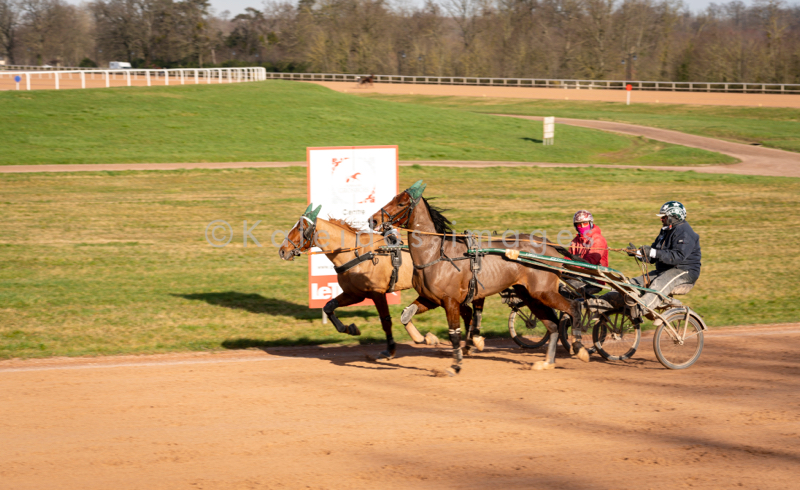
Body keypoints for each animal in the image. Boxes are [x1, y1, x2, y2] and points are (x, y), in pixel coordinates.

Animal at [278, 204, 484, 360]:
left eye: (300, 228)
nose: (282, 250)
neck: (357, 253)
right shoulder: (355, 294)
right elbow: (329, 306)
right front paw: (349, 328)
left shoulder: (376, 293)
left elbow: (386, 321)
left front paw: (391, 348)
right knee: (467, 312)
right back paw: (469, 344)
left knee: (467, 312)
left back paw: (471, 342)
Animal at [368, 182, 580, 374]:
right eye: (393, 198)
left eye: (401, 203)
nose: (373, 220)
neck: (435, 254)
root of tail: (550, 247)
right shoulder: (431, 299)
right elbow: (405, 314)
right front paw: (424, 338)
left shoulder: (450, 301)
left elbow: (454, 334)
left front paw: (455, 365)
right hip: (530, 295)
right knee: (552, 325)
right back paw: (547, 362)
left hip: (544, 292)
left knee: (573, 308)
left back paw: (578, 346)